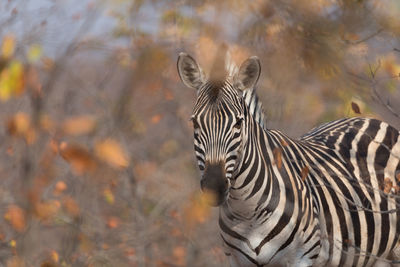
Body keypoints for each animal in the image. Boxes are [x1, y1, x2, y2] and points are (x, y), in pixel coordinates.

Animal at [178, 52, 400, 267]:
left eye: (238, 123)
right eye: (194, 123)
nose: (214, 186)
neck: (246, 211)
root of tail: (371, 120)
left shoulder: (302, 258)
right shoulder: (236, 260)